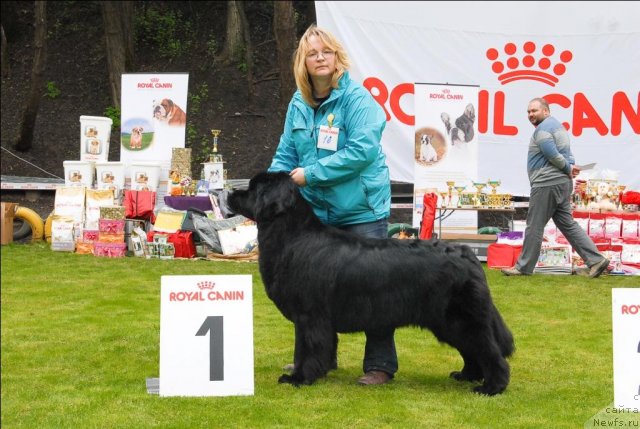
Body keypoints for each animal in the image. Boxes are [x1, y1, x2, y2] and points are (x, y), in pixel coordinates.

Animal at [228, 171, 512, 394]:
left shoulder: (309, 315)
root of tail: (468, 255)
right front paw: (318, 372)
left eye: (253, 189)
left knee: (489, 350)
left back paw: (491, 387)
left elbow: (306, 349)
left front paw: (298, 378)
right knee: (472, 350)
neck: (293, 237)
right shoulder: (314, 319)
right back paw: (467, 376)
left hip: (460, 319)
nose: (230, 192)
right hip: (447, 322)